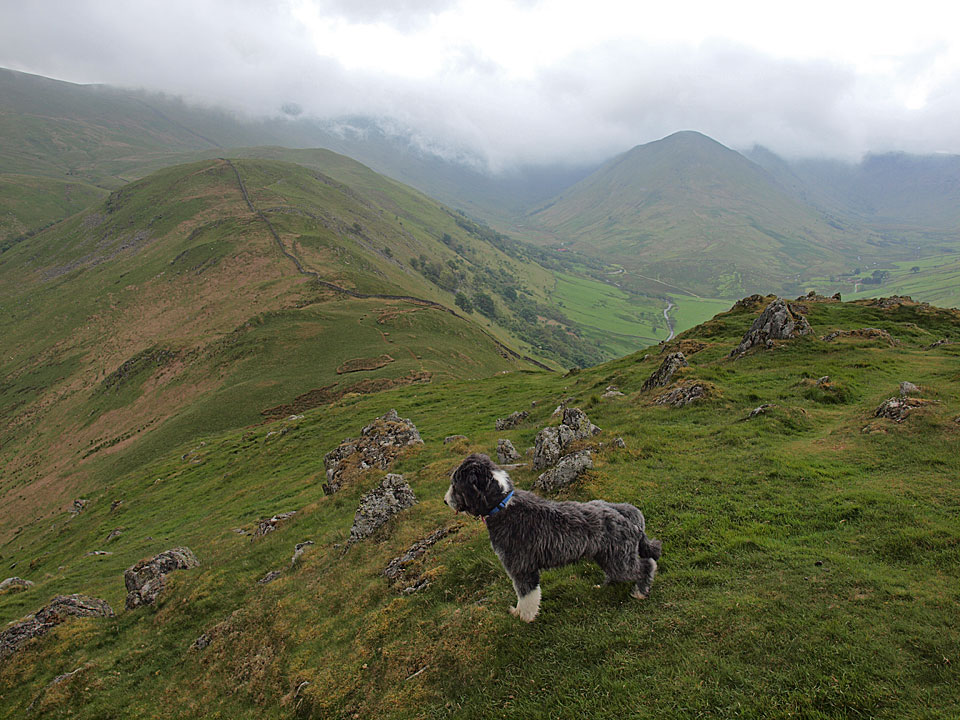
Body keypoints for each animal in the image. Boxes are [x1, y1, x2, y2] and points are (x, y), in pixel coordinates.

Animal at [444, 453, 661, 622]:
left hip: (619, 558)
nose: (445, 501)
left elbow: (526, 595)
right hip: (608, 556)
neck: (502, 505)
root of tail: (625, 511)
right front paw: (519, 612)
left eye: (455, 484)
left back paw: (640, 592)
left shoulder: (521, 567)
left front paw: (524, 618)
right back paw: (606, 584)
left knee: (646, 565)